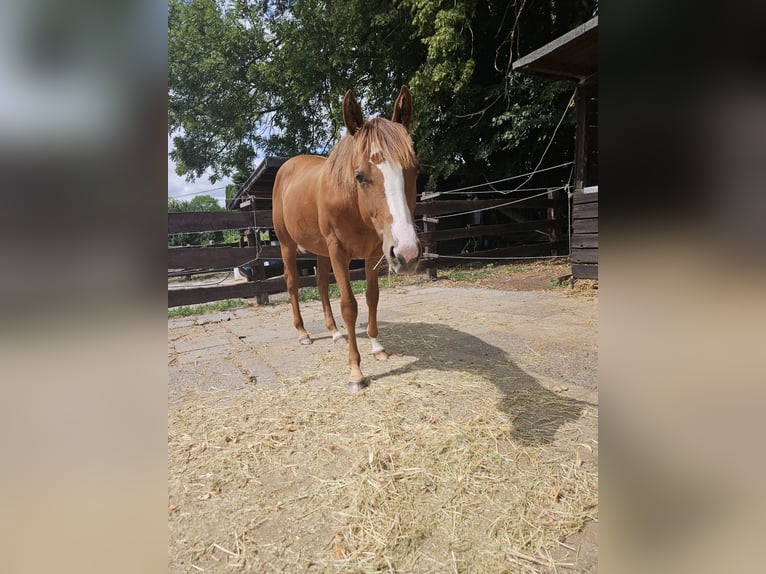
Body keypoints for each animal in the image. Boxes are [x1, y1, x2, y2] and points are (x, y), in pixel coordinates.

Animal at [272, 86, 421, 392]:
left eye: (416, 169)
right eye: (360, 176)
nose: (407, 253)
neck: (351, 202)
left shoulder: (375, 252)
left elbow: (372, 297)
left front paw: (377, 347)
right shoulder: (338, 251)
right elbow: (349, 305)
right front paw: (355, 372)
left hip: (320, 251)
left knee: (319, 285)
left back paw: (333, 332)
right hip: (287, 244)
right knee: (293, 284)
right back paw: (303, 333)